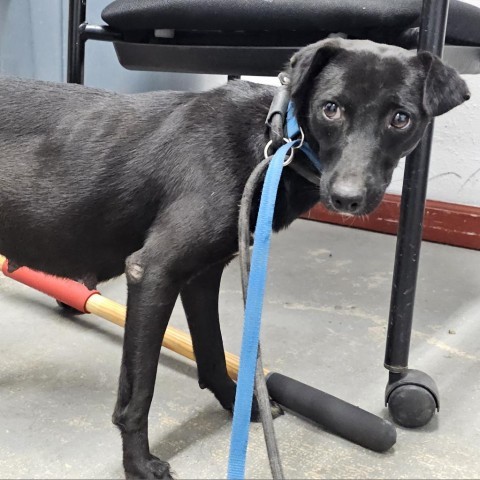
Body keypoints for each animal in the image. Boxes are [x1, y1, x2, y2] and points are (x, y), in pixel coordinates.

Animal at [0, 39, 468, 478]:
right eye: (331, 108)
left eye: (401, 118)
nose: (347, 199)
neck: (271, 138)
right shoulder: (153, 271)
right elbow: (139, 392)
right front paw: (137, 464)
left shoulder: (200, 277)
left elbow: (211, 350)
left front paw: (240, 405)